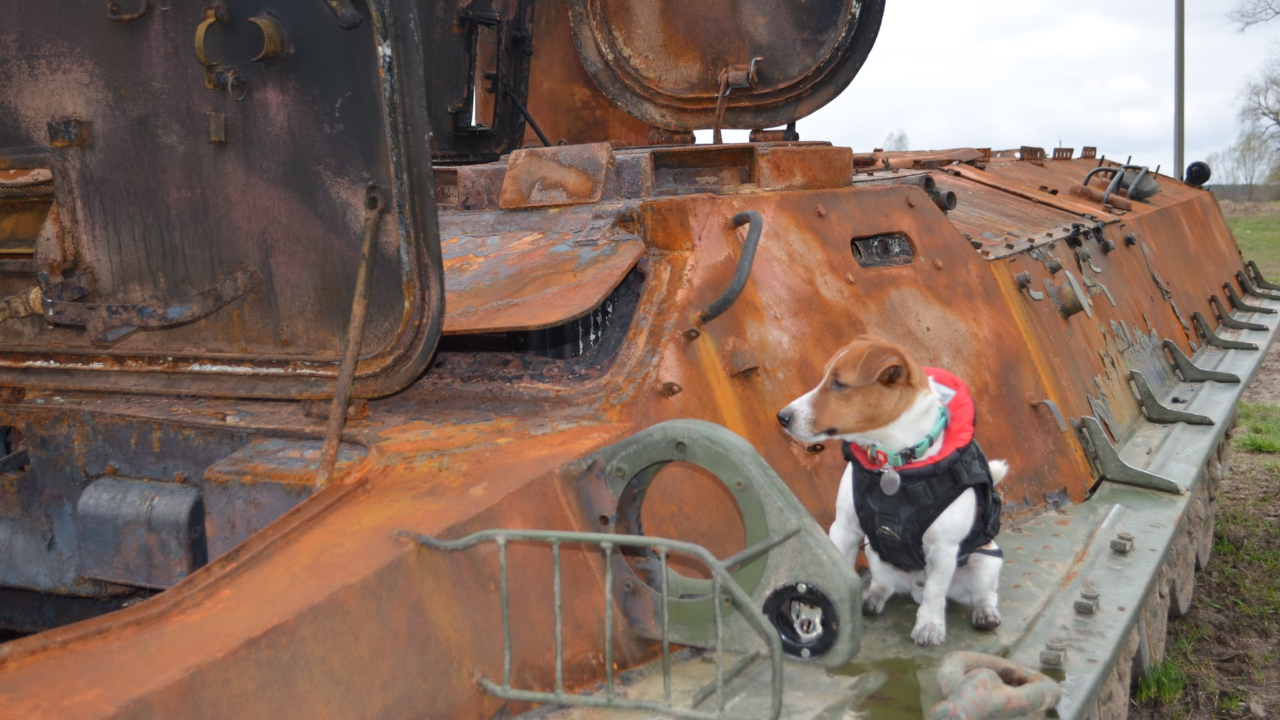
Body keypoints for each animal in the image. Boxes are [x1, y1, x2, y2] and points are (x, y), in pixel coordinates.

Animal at [773, 335, 1003, 645]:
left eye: (839, 384)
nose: (782, 416)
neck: (892, 463)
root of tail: (914, 584)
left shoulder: (943, 548)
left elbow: (935, 593)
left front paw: (929, 626)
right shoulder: (844, 529)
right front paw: (813, 613)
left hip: (986, 562)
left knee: (983, 593)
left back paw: (985, 613)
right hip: (874, 554)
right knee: (883, 585)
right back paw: (870, 598)